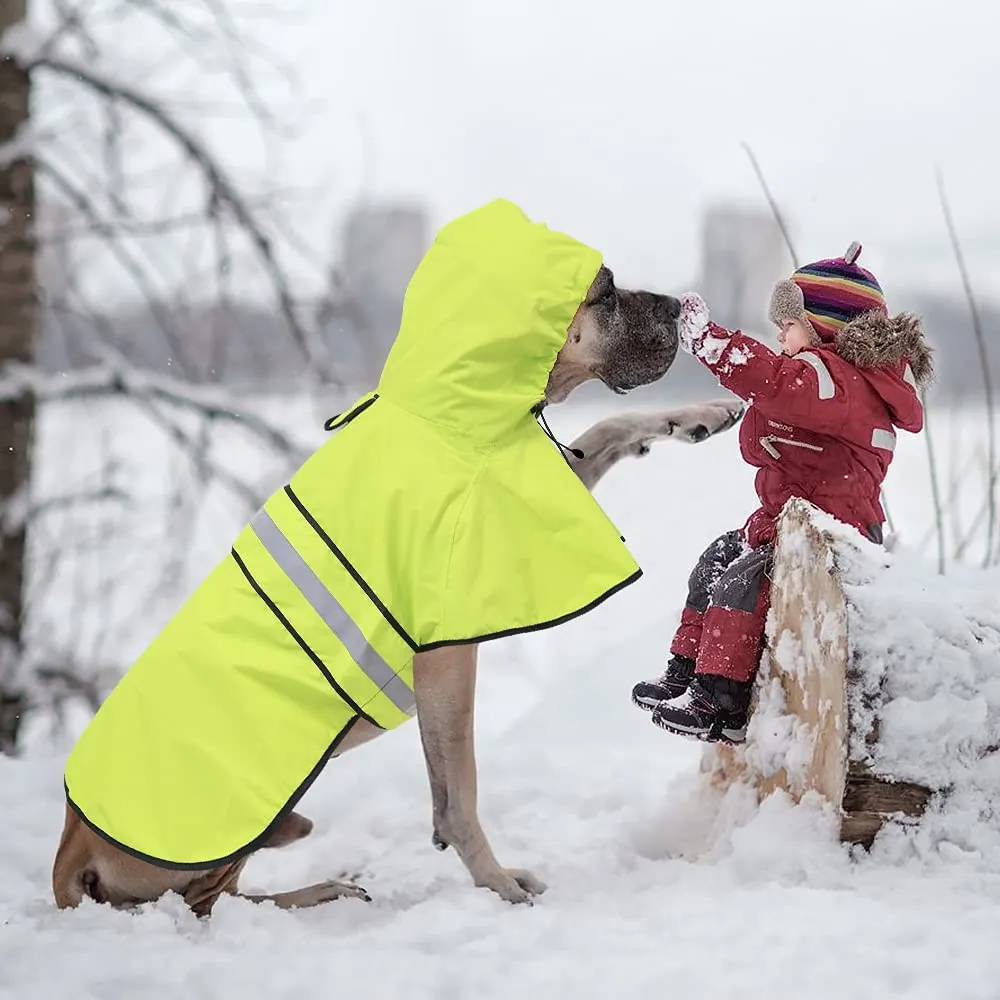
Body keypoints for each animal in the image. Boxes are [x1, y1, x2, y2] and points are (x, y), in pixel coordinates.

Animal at [52, 264, 744, 916]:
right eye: (604, 294)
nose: (676, 306)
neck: (451, 413)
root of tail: (68, 852)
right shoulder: (446, 662)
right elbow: (459, 797)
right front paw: (496, 886)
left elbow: (607, 427)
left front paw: (701, 416)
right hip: (232, 828)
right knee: (204, 905)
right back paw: (321, 893)